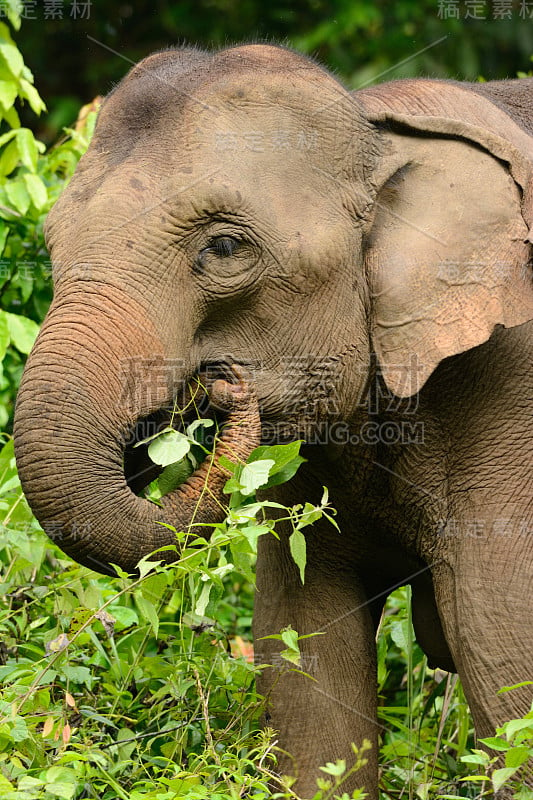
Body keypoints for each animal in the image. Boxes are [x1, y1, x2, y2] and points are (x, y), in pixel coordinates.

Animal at [12, 45, 532, 800]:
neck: (379, 130)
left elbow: (505, 657)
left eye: (225, 248)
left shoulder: (509, 386)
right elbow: (304, 668)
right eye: (51, 242)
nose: (224, 384)